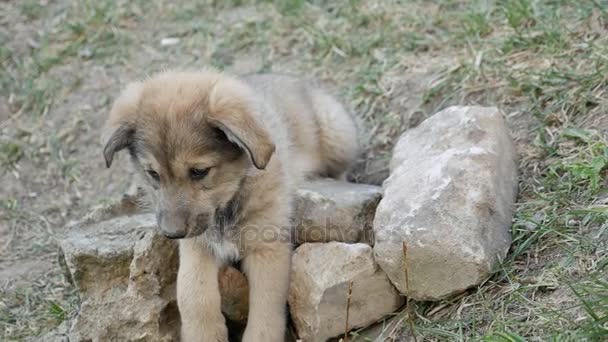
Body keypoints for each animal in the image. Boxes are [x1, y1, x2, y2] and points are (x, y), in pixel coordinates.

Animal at [102, 68, 358, 340]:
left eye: (199, 171)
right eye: (152, 174)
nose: (171, 233)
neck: (228, 204)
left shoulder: (267, 247)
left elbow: (265, 311)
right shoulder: (197, 247)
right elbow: (194, 297)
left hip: (336, 133)